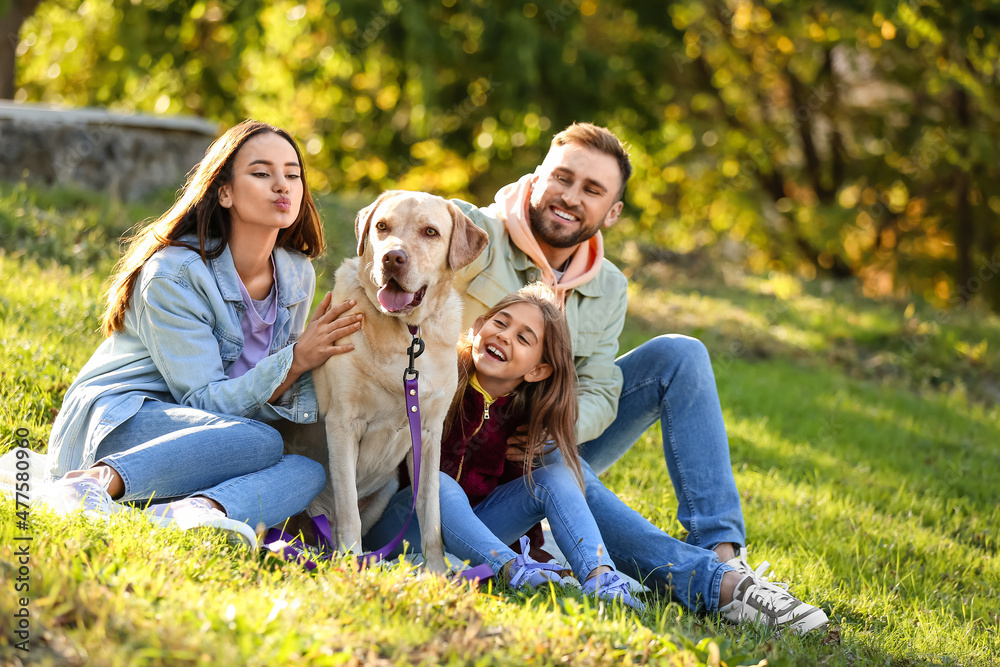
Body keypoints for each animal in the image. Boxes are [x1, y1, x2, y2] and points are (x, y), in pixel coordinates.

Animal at [286, 190, 488, 572]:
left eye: (430, 232)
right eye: (381, 226)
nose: (392, 257)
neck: (407, 336)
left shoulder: (429, 433)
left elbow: (430, 511)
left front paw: (437, 572)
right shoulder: (343, 423)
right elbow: (348, 508)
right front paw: (352, 563)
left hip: (386, 488)